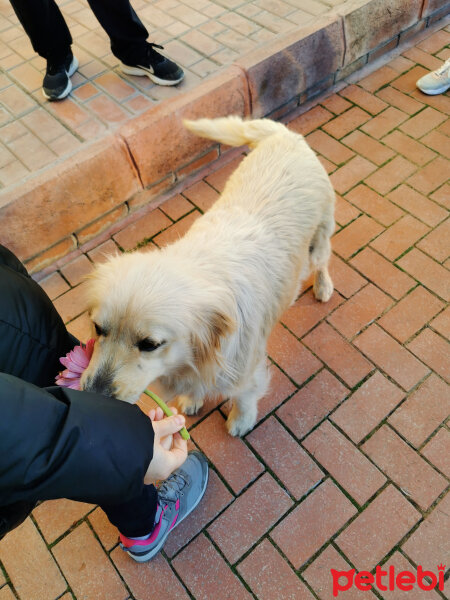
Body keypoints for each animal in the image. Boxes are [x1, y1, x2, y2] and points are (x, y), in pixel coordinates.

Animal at [81, 116, 334, 436]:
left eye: (149, 344)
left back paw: (323, 286)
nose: (92, 397)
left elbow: (245, 395)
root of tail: (284, 135)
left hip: (319, 238)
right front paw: (192, 399)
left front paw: (241, 420)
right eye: (98, 328)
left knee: (322, 261)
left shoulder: (245, 368)